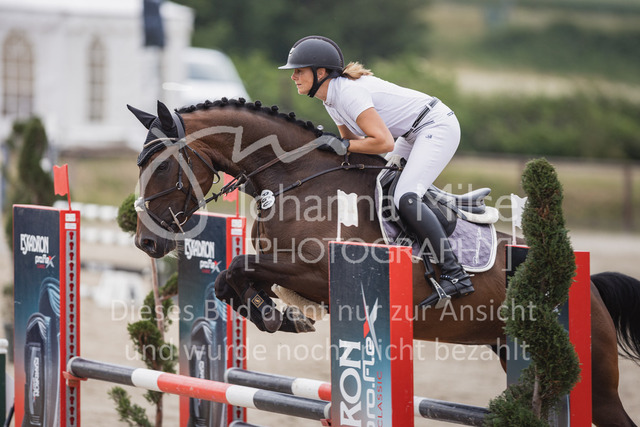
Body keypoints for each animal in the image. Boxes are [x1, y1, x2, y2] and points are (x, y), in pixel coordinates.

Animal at [129, 98, 640, 426]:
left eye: (163, 165)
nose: (146, 242)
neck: (296, 179)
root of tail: (589, 284)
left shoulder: (318, 273)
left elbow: (239, 270)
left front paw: (279, 316)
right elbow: (229, 281)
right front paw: (276, 315)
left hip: (594, 380)